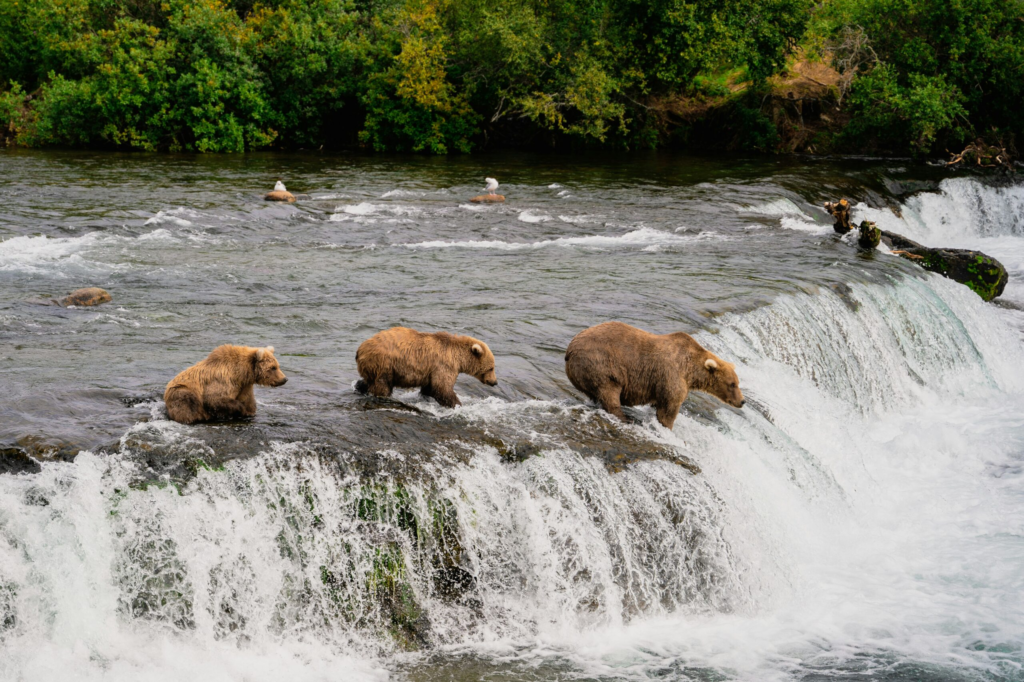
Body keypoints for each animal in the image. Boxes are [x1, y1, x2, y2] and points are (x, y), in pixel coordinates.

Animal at [355, 327, 497, 408]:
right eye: (491, 368)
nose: (494, 382)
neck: (458, 358)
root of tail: (360, 349)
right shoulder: (444, 365)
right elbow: (442, 388)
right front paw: (457, 404)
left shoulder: (431, 371)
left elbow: (430, 388)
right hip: (384, 363)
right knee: (382, 385)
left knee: (368, 381)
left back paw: (360, 387)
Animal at [564, 321, 744, 429]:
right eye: (732, 384)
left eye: (737, 382)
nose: (742, 401)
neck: (691, 371)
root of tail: (569, 350)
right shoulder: (672, 375)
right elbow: (669, 408)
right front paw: (667, 427)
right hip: (600, 365)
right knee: (609, 392)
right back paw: (625, 418)